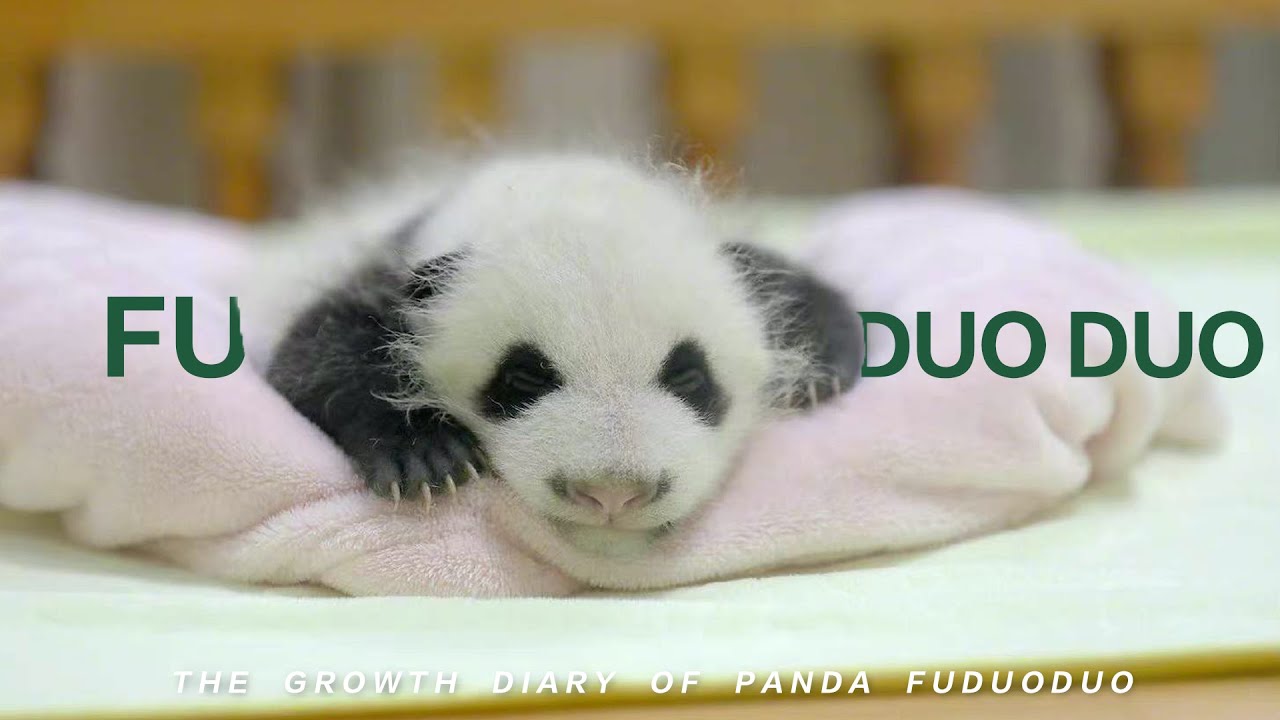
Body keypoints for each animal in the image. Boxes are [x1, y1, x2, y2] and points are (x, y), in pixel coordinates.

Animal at [249, 153, 862, 552]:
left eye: (689, 377)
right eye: (524, 379)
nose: (613, 494)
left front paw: (820, 373)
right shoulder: (397, 274)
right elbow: (314, 353)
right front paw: (423, 456)